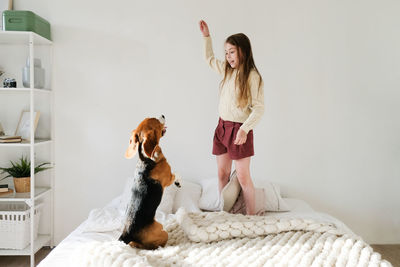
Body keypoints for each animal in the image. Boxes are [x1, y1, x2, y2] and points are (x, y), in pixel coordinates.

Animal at [119, 115, 178, 251]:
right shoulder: (168, 178)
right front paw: (178, 182)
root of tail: (126, 234)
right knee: (156, 244)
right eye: (155, 120)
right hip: (162, 231)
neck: (146, 159)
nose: (162, 115)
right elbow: (176, 175)